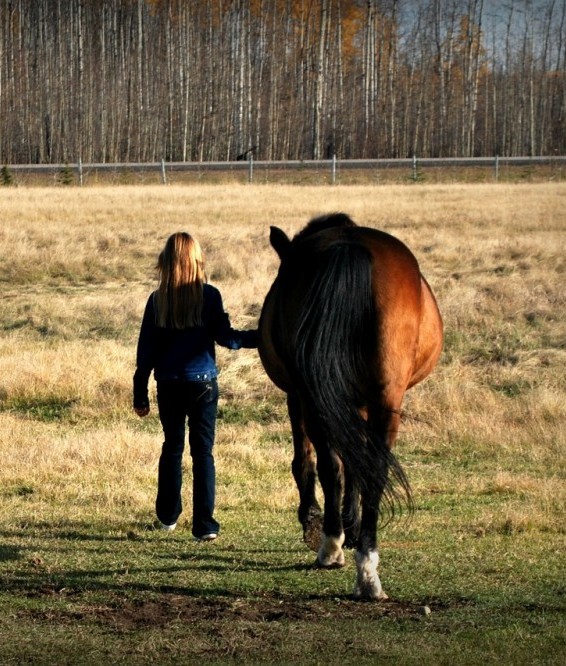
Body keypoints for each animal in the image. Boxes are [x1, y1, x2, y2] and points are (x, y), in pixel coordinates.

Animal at [258, 213, 443, 600]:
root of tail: (349, 246)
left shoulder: (299, 396)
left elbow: (309, 461)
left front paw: (317, 522)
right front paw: (348, 527)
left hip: (316, 397)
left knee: (334, 464)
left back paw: (333, 546)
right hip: (384, 399)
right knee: (370, 467)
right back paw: (365, 565)